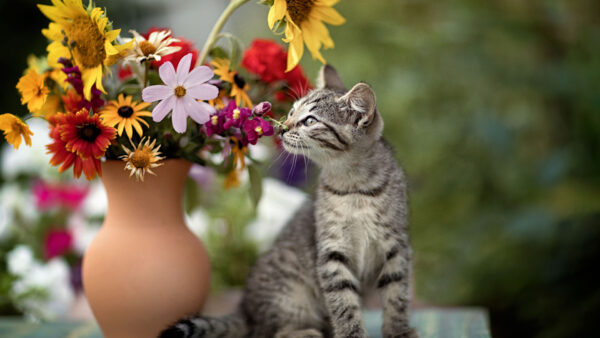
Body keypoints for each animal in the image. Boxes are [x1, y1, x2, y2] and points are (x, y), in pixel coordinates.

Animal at [163, 65, 418, 338]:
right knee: (267, 332)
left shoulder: (396, 246)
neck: (354, 187)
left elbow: (397, 295)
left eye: (310, 121)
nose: (282, 128)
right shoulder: (332, 251)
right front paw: (352, 334)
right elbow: (343, 304)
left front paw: (399, 331)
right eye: (292, 111)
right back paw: (305, 333)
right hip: (291, 295)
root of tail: (245, 309)